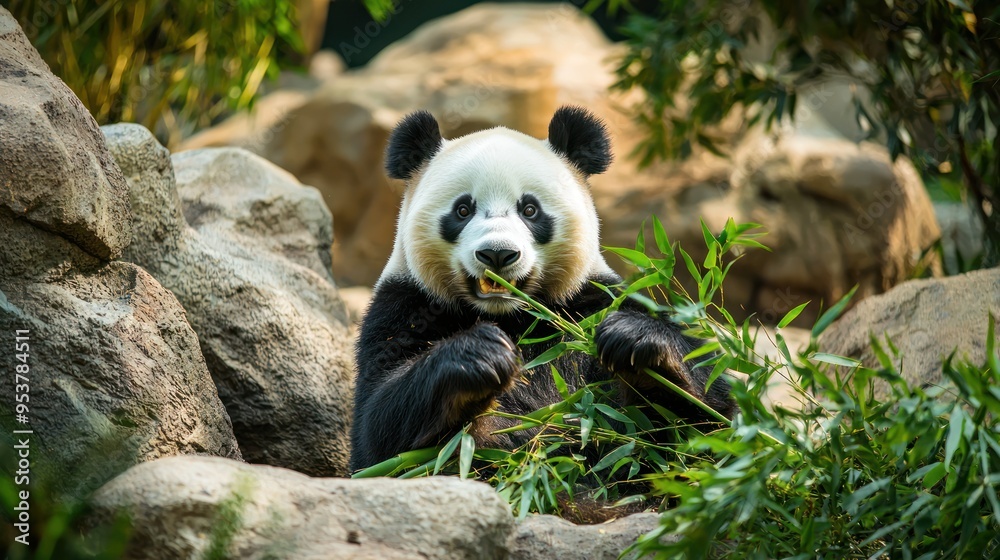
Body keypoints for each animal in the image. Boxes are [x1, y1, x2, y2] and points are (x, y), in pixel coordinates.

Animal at [350, 106, 734, 471]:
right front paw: (481, 354)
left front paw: (634, 339)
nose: (498, 253)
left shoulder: (591, 300)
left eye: (530, 209)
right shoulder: (407, 306)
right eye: (462, 209)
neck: (512, 315)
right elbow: (379, 433)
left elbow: (701, 422)